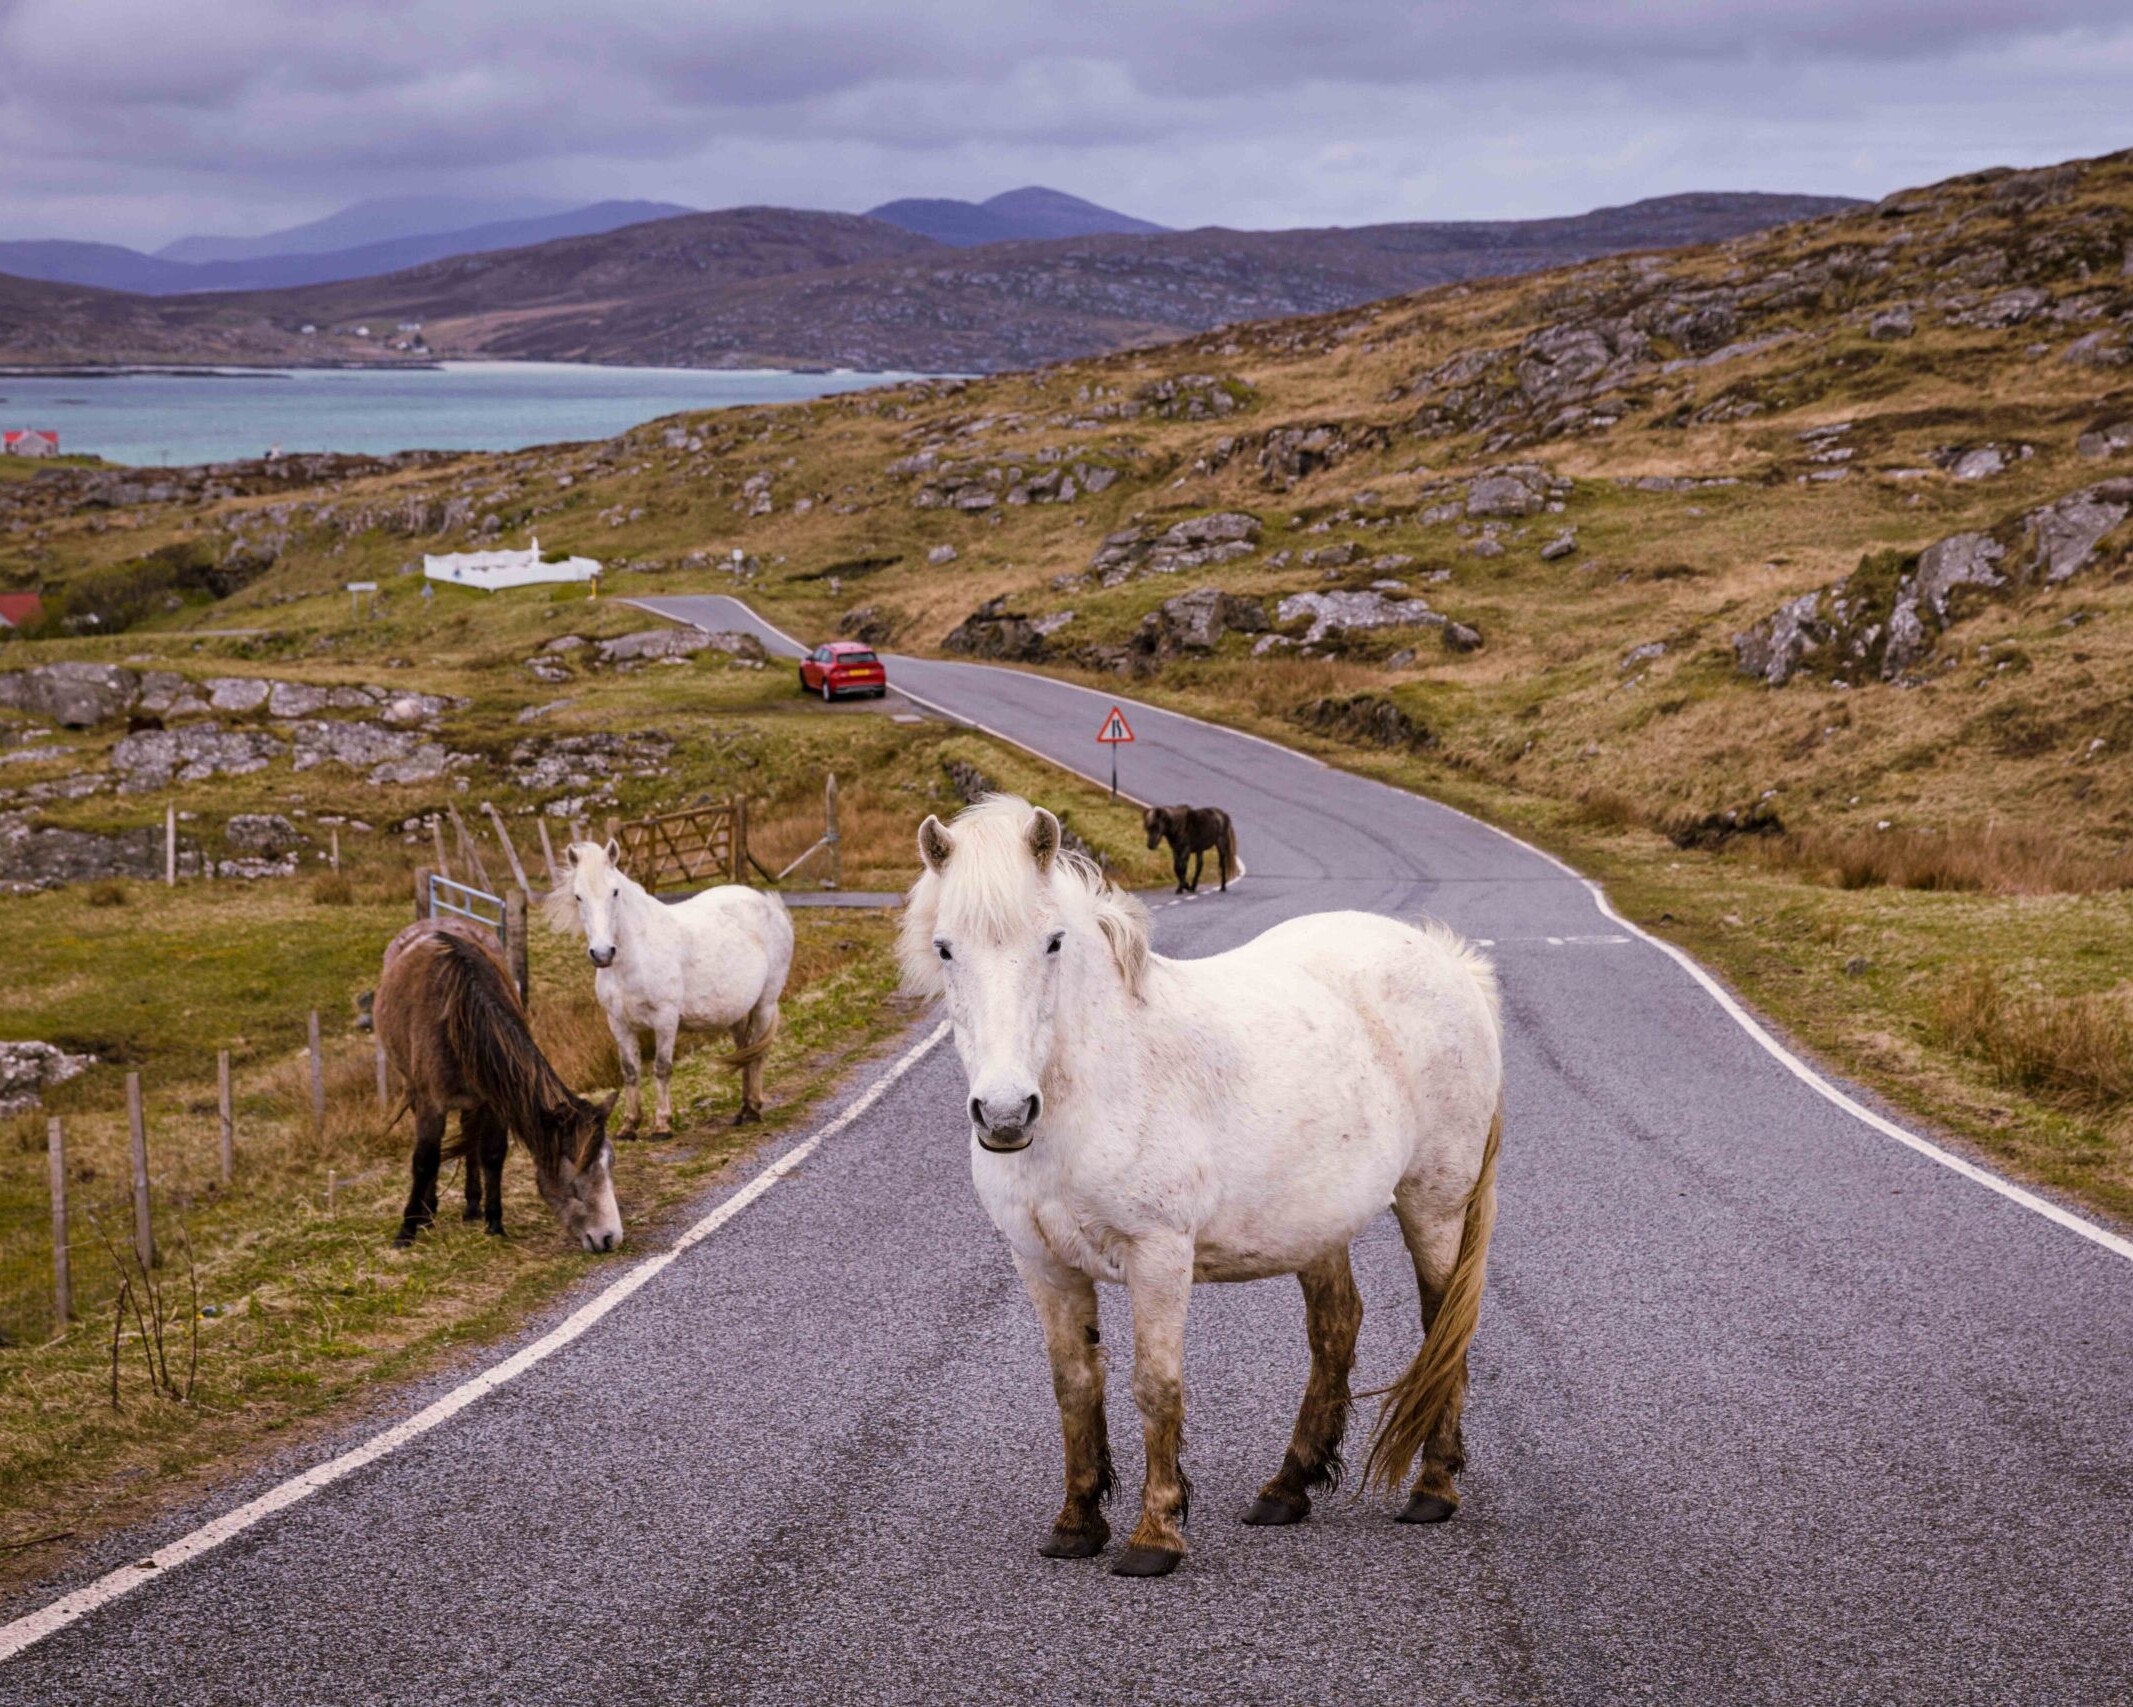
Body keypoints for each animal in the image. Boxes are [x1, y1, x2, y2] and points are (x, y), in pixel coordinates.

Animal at [372, 917, 623, 1252]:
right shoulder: (429, 1104)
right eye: (575, 1176)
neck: (460, 1020)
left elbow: (491, 1153)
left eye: (610, 1164)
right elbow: (425, 1159)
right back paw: (429, 1212)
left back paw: (471, 1205)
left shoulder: (494, 1101)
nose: (609, 1237)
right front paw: (408, 1227)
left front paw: (494, 1222)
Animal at [544, 839, 794, 1132]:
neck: (634, 956)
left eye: (615, 892)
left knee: (759, 1053)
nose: (603, 954)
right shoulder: (619, 1023)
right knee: (744, 1051)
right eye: (578, 896)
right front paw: (630, 1125)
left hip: (765, 1004)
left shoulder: (665, 1019)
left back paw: (753, 1108)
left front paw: (662, 1124)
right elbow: (630, 1071)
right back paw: (742, 1111)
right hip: (737, 1013)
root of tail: (771, 904)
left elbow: (662, 1067)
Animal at [901, 795, 1502, 1578]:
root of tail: (1449, 961)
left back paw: (1432, 1485)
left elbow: (1155, 1386)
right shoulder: (1043, 1264)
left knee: (1441, 1324)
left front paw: (1154, 1534)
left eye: (1053, 943)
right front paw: (1076, 1522)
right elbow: (1074, 1386)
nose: (1004, 1113)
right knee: (1336, 1328)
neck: (1099, 1082)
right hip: (1317, 1223)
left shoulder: (1158, 1256)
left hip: (1434, 1203)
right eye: (945, 948)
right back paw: (1287, 1487)